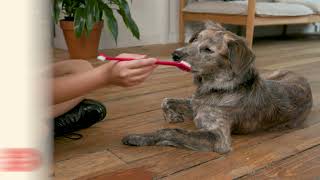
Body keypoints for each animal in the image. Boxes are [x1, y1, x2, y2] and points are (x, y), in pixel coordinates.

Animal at [121, 21, 312, 153]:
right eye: (194, 39)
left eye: (208, 50)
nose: (175, 54)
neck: (218, 88)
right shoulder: (194, 104)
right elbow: (166, 100)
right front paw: (173, 116)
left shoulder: (219, 137)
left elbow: (170, 131)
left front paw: (139, 137)